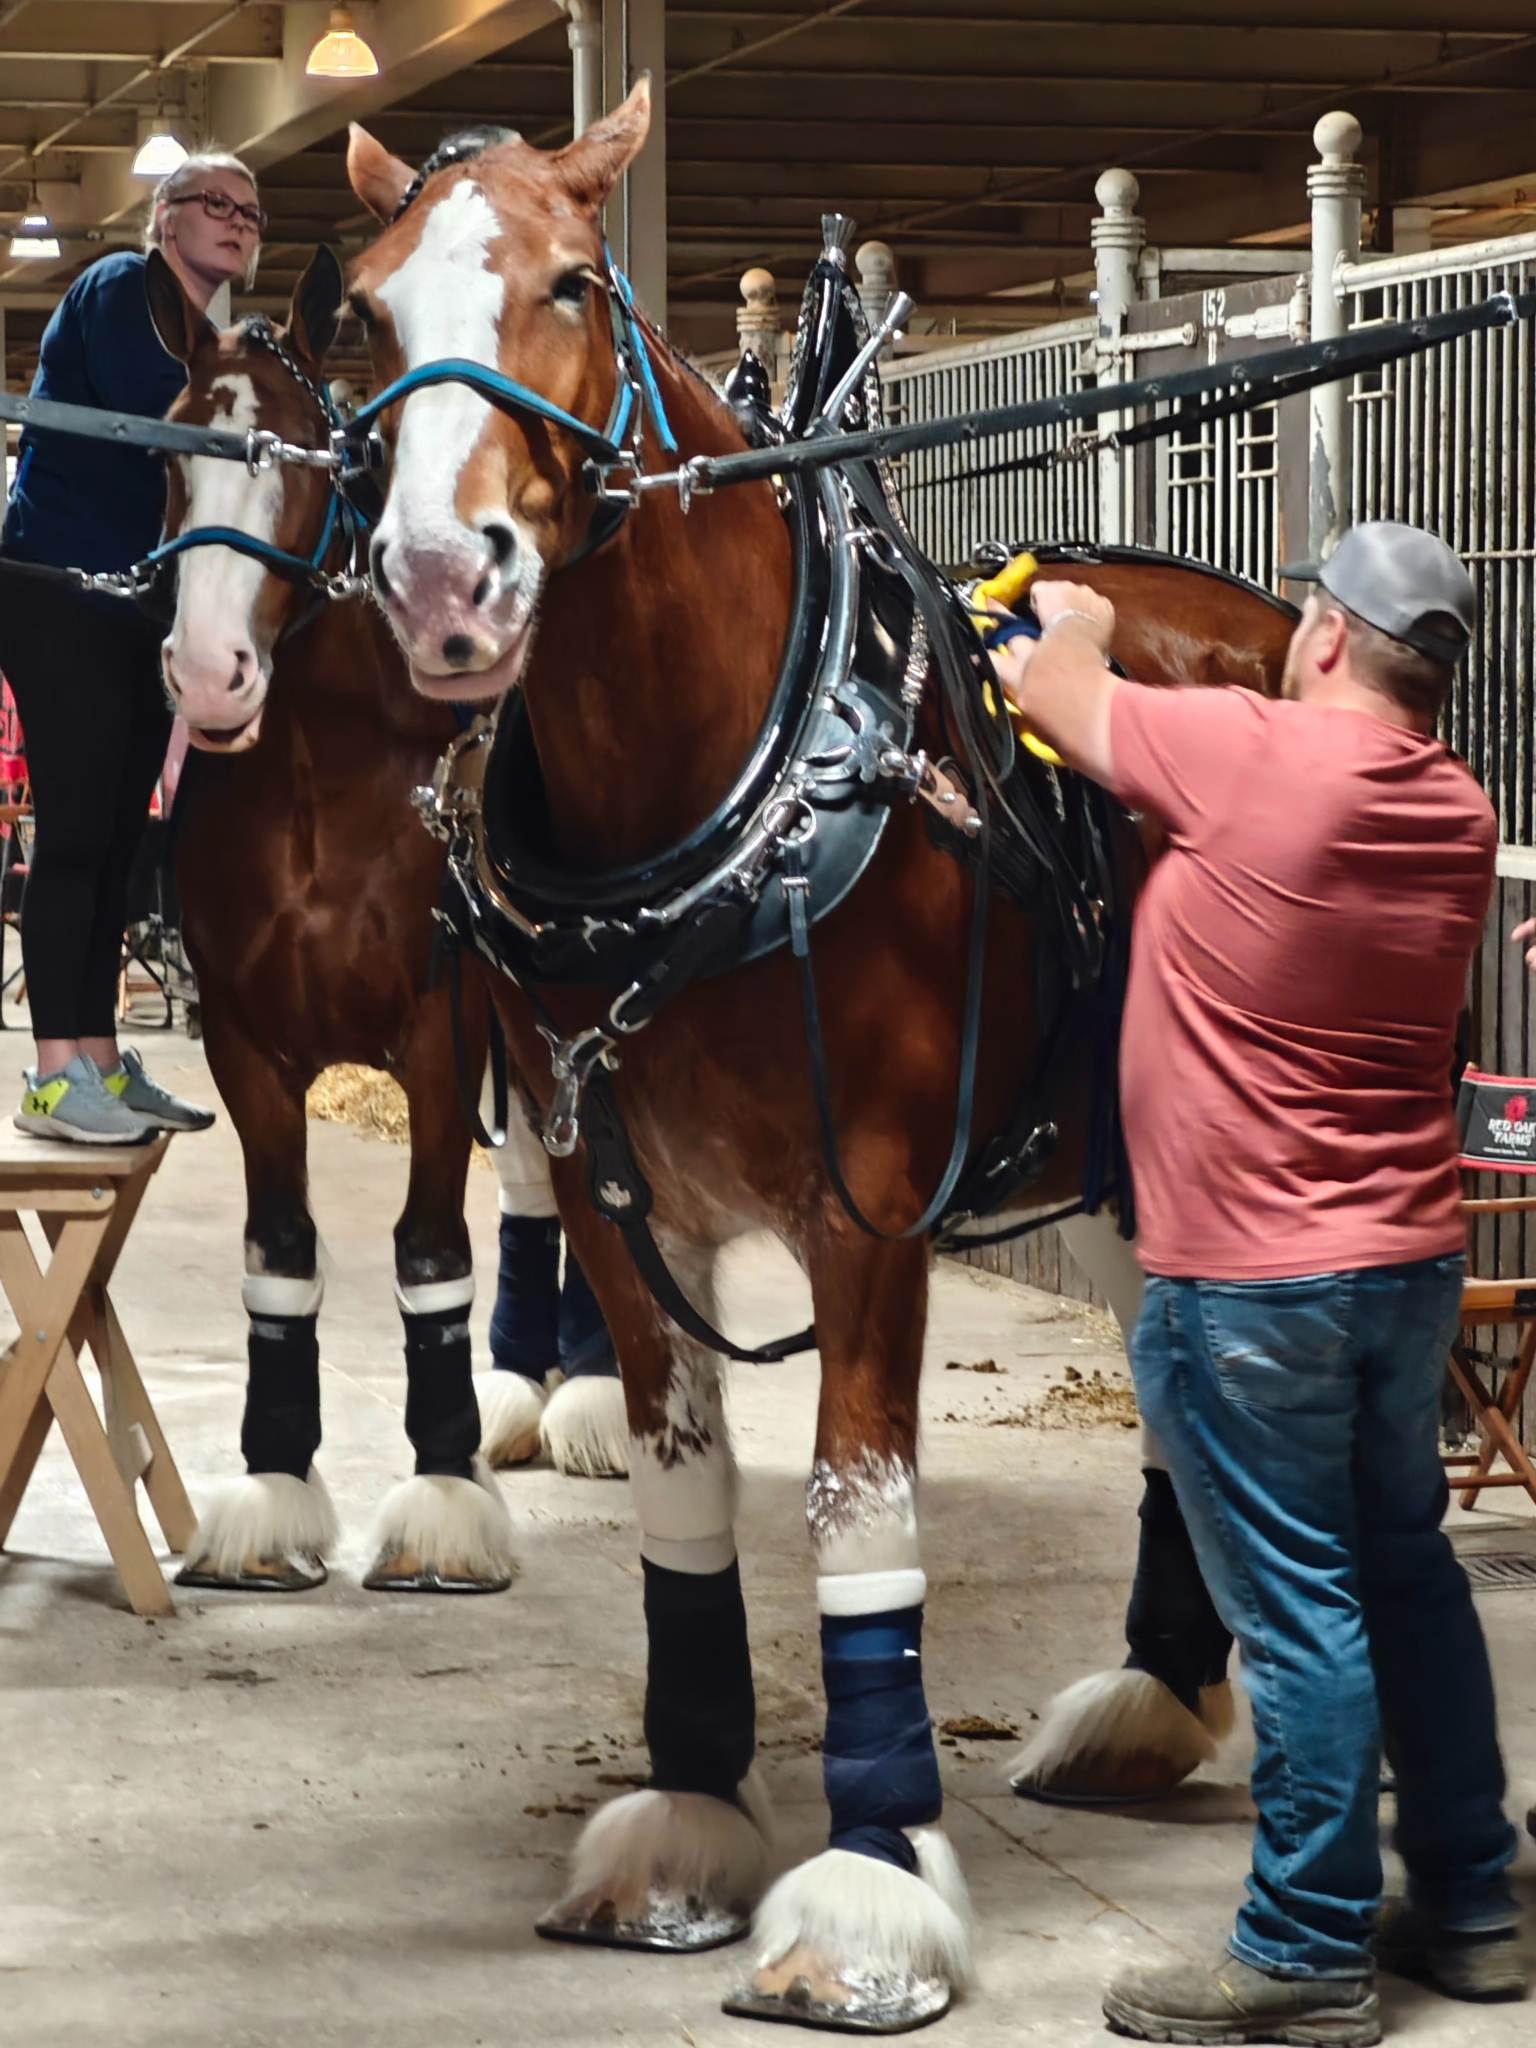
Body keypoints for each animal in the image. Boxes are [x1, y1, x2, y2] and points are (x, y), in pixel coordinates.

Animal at [140, 250, 628, 1598]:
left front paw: (444, 1494)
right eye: (169, 457)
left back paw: (592, 1397)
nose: (209, 673)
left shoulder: (434, 1033)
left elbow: (425, 1252)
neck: (323, 774)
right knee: (537, 1184)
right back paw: (528, 1388)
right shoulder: (247, 1046)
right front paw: (270, 1488)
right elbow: (282, 1250)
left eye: (316, 460)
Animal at [335, 87, 1303, 2030]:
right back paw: (1157, 1698)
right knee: (1170, 1390)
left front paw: (869, 1886)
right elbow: (684, 1489)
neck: (725, 791)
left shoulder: (866, 1220)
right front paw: (696, 1809)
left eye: (572, 280)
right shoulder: (618, 1212)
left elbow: (860, 1518)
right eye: (365, 310)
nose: (439, 577)